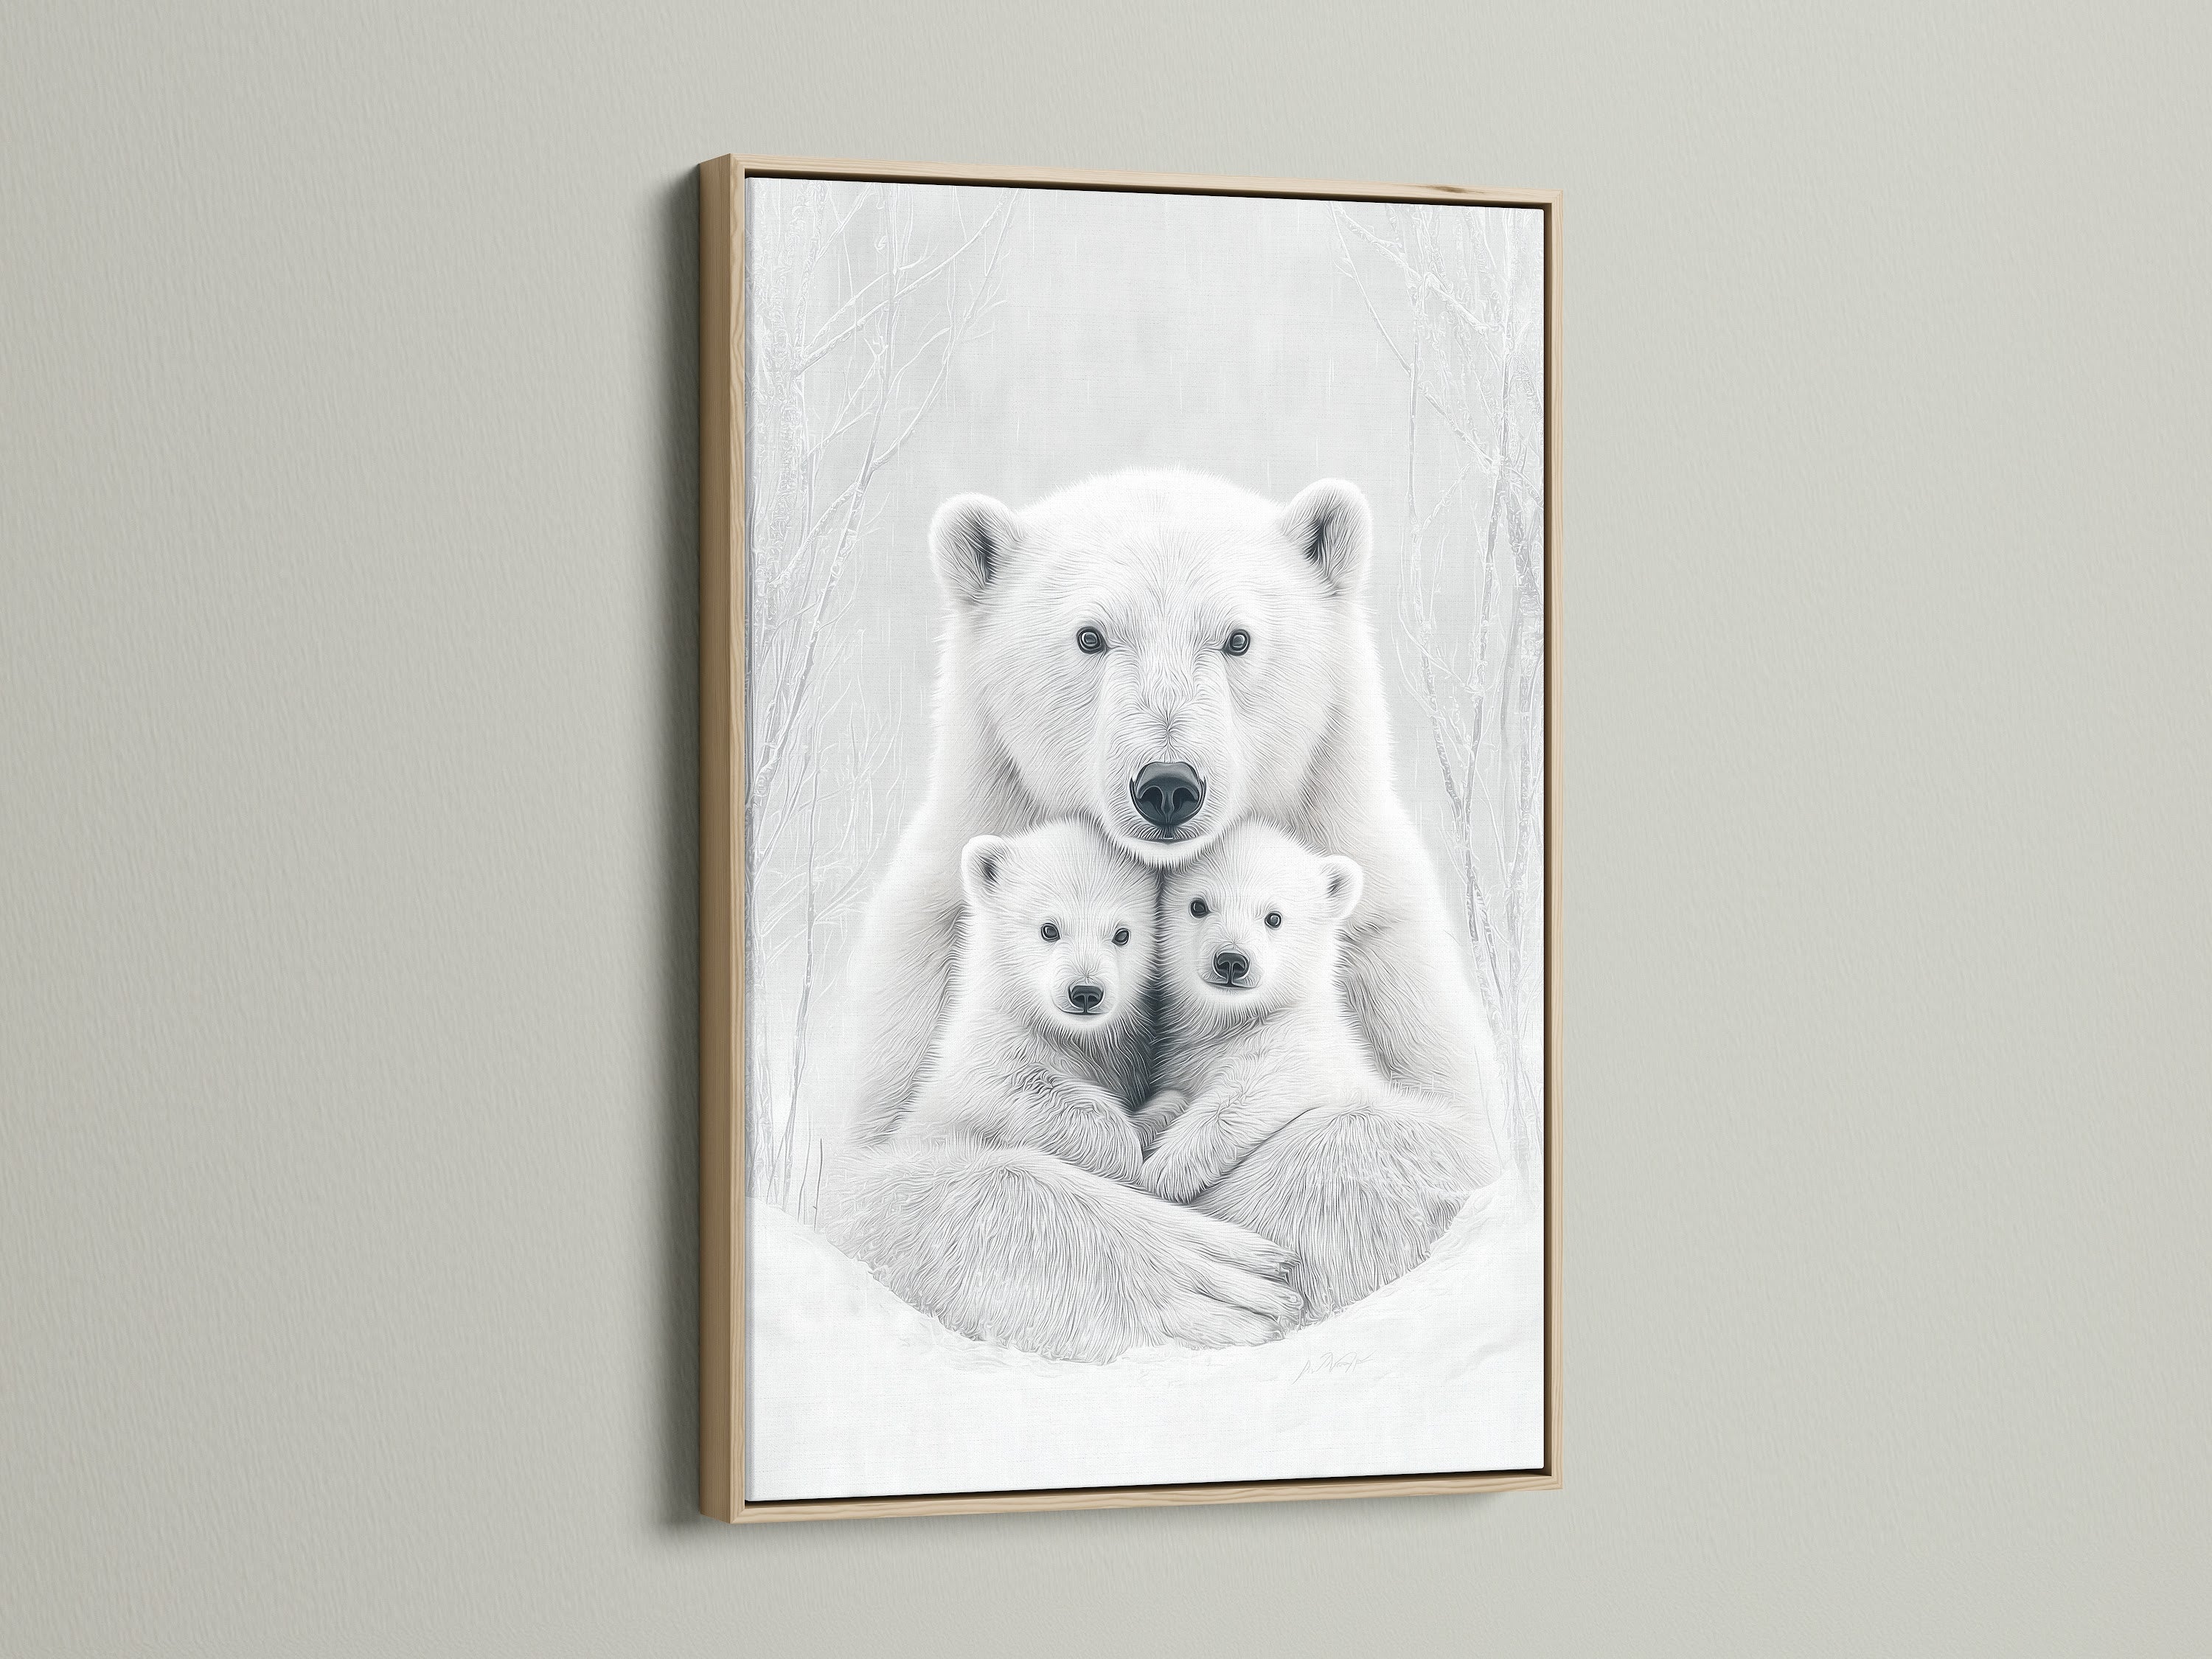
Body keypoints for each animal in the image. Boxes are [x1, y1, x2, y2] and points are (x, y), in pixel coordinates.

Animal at [900, 820, 1154, 1184]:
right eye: (1049, 929)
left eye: (1122, 934)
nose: (1086, 992)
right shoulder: (992, 1043)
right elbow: (1016, 1085)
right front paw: (1124, 1148)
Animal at [1138, 822, 1483, 1317]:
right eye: (1198, 905)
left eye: (1274, 917)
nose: (1231, 961)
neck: (1237, 1022)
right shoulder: (1186, 1059)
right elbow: (1173, 1096)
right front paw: (1146, 1129)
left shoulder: (1306, 1047)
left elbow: (1253, 1091)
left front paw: (1163, 1173)